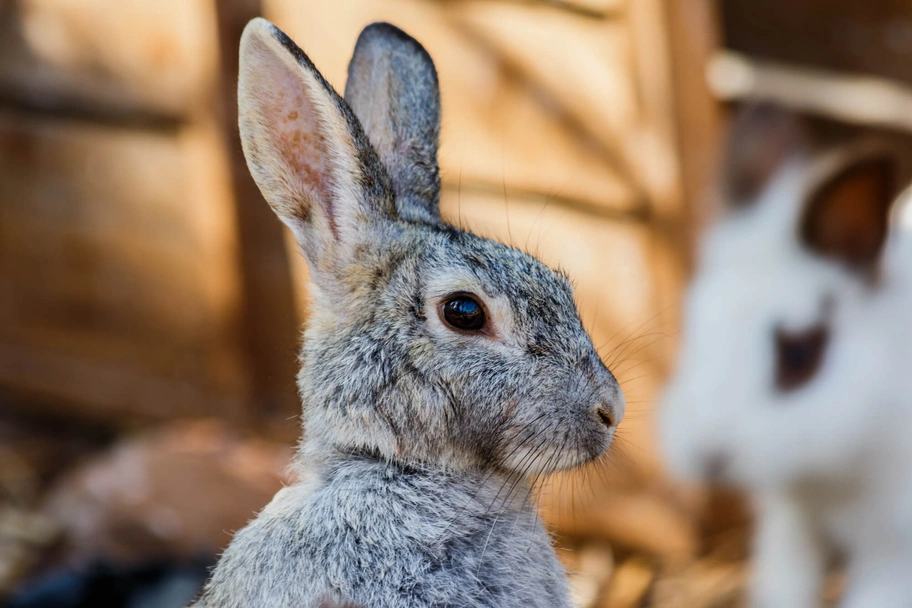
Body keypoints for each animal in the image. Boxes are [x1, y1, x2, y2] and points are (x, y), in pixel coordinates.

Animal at [659, 103, 912, 608]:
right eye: (693, 323)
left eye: (798, 354)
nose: (708, 456)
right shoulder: (792, 525)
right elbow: (786, 585)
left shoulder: (892, 549)